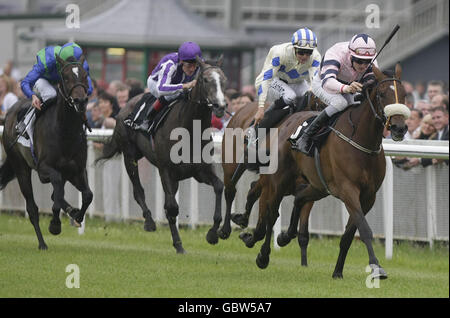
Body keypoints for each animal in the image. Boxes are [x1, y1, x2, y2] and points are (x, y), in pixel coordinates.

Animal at [0, 54, 93, 250]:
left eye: (84, 76)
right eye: (66, 77)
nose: (80, 101)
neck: (65, 131)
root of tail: (10, 111)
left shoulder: (78, 170)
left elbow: (88, 195)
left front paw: (77, 215)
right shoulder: (44, 168)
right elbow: (56, 193)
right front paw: (55, 224)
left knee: (56, 193)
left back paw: (72, 211)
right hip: (21, 168)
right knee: (33, 208)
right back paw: (42, 243)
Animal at [96, 56, 227, 253]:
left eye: (223, 80)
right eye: (205, 80)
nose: (220, 106)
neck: (189, 129)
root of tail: (125, 105)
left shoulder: (200, 171)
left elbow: (219, 186)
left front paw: (212, 234)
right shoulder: (165, 170)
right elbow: (171, 208)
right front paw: (178, 245)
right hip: (130, 156)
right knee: (138, 191)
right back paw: (149, 222)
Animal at [243, 63, 412, 278]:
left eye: (404, 94)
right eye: (382, 94)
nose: (399, 128)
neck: (361, 142)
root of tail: (289, 119)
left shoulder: (368, 196)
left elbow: (348, 235)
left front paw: (338, 271)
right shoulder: (349, 190)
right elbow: (364, 229)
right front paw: (375, 266)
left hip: (318, 186)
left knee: (299, 198)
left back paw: (285, 236)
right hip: (279, 179)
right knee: (272, 214)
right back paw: (263, 256)